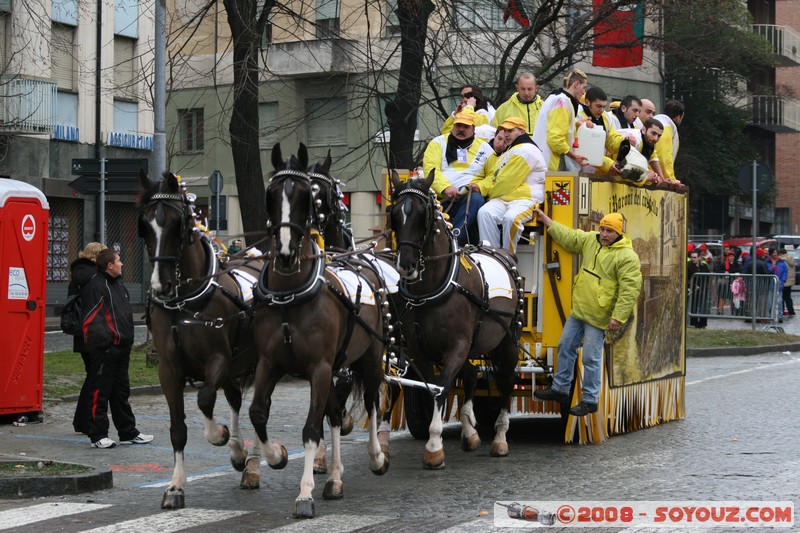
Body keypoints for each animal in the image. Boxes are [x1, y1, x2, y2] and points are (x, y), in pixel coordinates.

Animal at [138, 172, 262, 510]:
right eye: (144, 225)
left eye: (177, 224)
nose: (161, 286)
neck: (185, 301)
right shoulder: (169, 369)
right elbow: (178, 428)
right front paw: (176, 486)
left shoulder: (217, 361)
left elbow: (205, 399)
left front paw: (219, 435)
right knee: (237, 398)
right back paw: (243, 457)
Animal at [250, 143, 388, 516]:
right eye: (270, 195)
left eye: (309, 197)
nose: (285, 253)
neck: (291, 294)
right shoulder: (269, 363)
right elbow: (258, 413)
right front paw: (277, 456)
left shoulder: (322, 368)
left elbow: (312, 428)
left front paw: (304, 493)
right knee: (338, 414)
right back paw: (336, 478)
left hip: (371, 357)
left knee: (371, 401)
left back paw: (375, 457)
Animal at [390, 170, 524, 466]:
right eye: (394, 213)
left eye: (422, 215)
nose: (406, 265)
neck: (431, 290)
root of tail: (503, 252)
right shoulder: (419, 351)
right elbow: (433, 387)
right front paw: (446, 436)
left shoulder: (457, 346)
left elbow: (441, 387)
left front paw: (433, 447)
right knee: (473, 375)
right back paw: (470, 432)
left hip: (507, 341)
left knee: (507, 381)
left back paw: (500, 437)